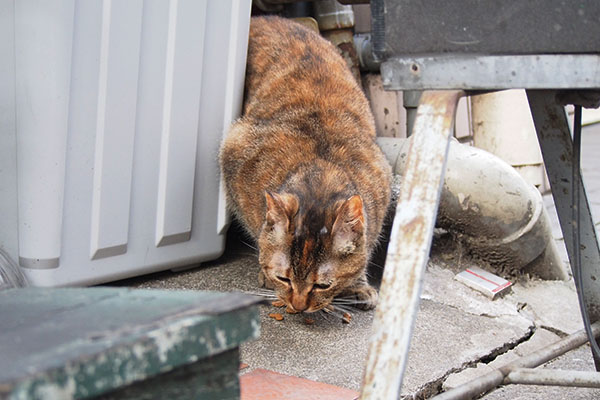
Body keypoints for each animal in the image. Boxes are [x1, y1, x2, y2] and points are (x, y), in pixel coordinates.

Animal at [218, 16, 392, 312]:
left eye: (323, 285)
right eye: (283, 278)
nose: (298, 306)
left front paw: (359, 284)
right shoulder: (234, 149)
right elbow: (258, 233)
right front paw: (264, 273)